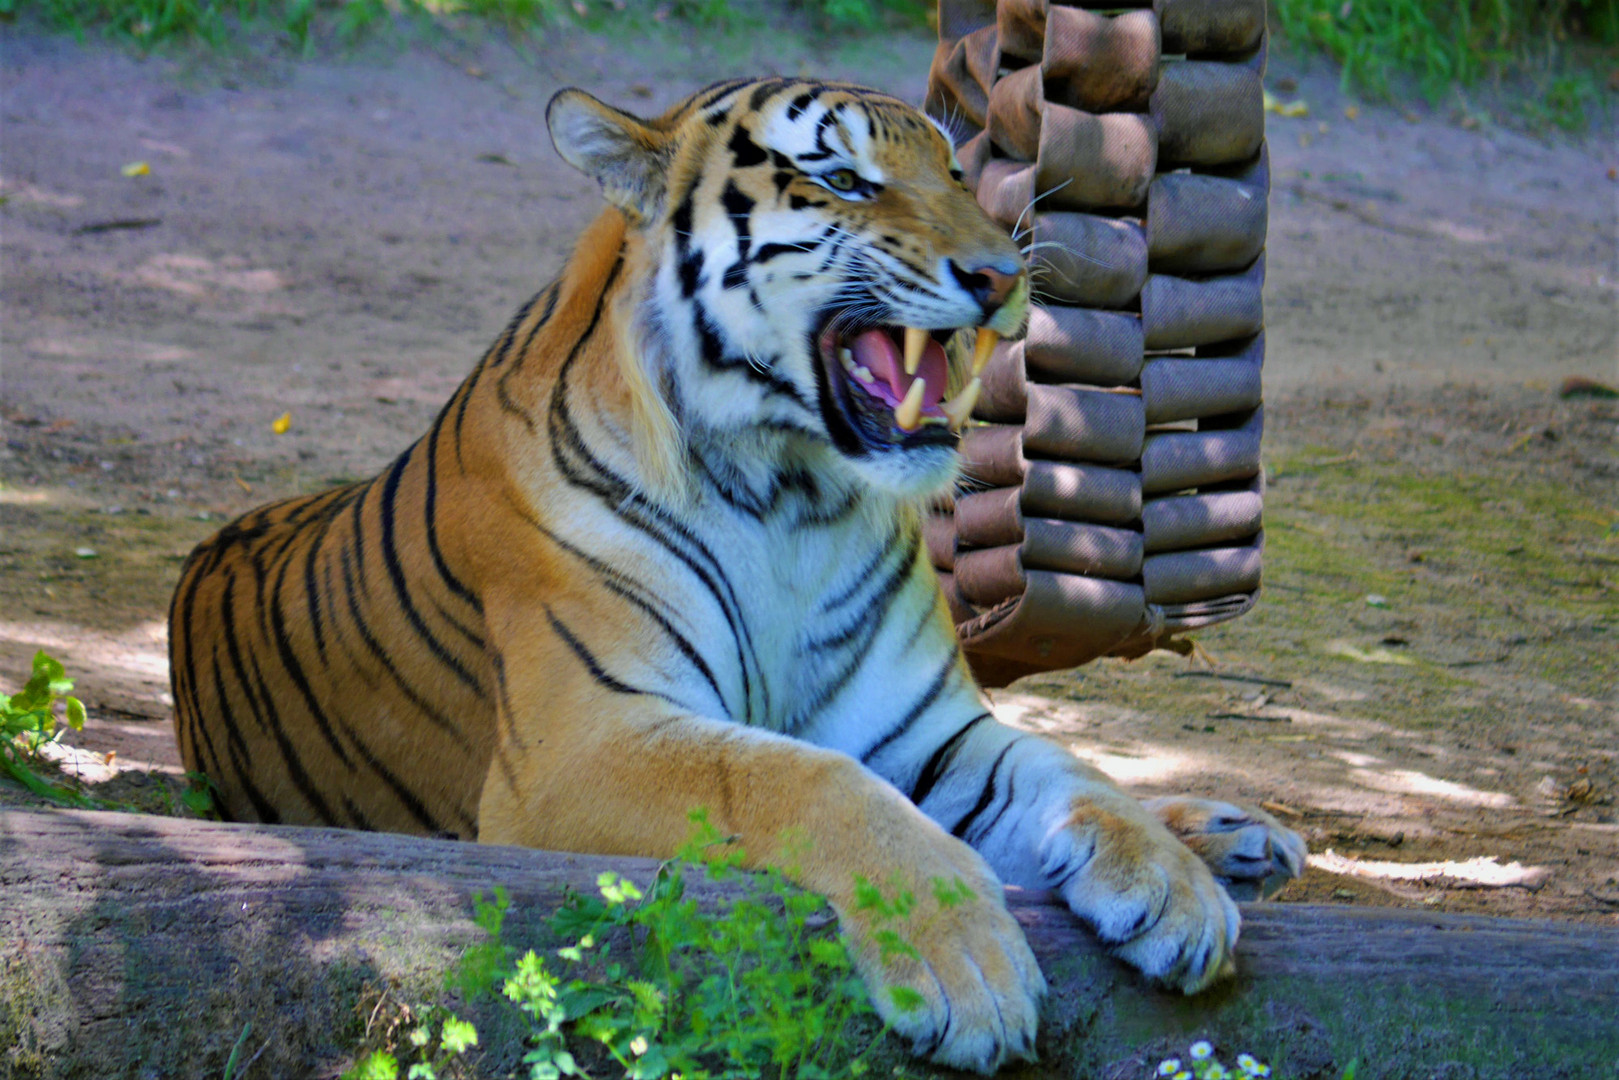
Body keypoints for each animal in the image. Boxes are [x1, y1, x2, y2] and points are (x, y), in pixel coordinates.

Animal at [167, 78, 1301, 1075]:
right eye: (842, 178)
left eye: (952, 171)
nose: (999, 275)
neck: (791, 495)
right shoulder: (582, 745)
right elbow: (794, 774)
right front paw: (966, 966)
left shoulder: (925, 732)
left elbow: (1062, 772)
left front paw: (1167, 885)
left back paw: (1227, 838)